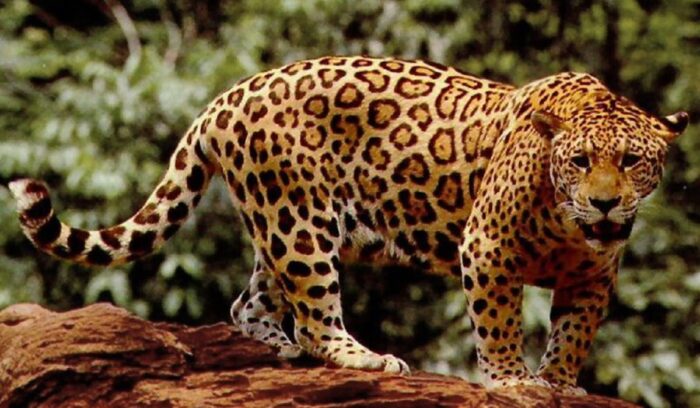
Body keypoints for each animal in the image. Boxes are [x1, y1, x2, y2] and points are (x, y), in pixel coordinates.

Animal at [9, 56, 688, 395]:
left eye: (632, 161)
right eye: (580, 162)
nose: (605, 204)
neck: (567, 221)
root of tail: (225, 97)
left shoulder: (593, 275)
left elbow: (573, 333)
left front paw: (561, 382)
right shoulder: (487, 246)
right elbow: (498, 322)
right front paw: (512, 381)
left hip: (280, 224)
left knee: (249, 301)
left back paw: (278, 349)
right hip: (300, 223)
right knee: (314, 315)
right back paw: (364, 359)